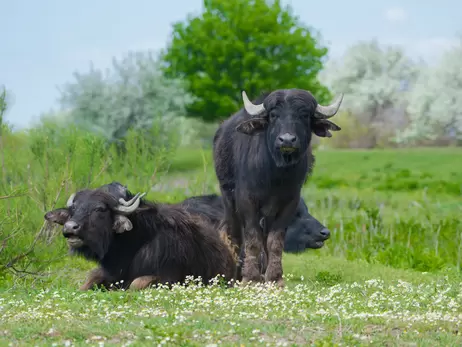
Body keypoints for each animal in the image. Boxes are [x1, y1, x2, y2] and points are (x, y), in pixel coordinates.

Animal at [213, 89, 342, 286]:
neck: (276, 175)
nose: (287, 140)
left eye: (304, 115)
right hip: (228, 199)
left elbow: (275, 241)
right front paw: (250, 278)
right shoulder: (246, 201)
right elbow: (252, 240)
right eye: (274, 115)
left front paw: (274, 278)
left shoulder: (289, 203)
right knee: (232, 232)